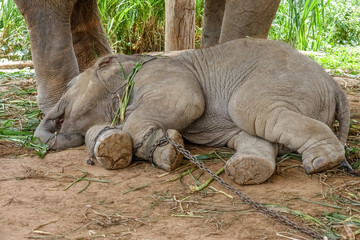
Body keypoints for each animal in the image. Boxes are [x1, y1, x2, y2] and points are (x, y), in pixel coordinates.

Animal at [33, 38, 348, 185]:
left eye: (70, 85)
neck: (133, 59)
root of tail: (334, 85)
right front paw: (164, 149)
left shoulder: (164, 74)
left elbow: (188, 101)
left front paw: (159, 149)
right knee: (256, 134)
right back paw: (247, 170)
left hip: (282, 83)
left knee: (249, 109)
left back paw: (321, 163)